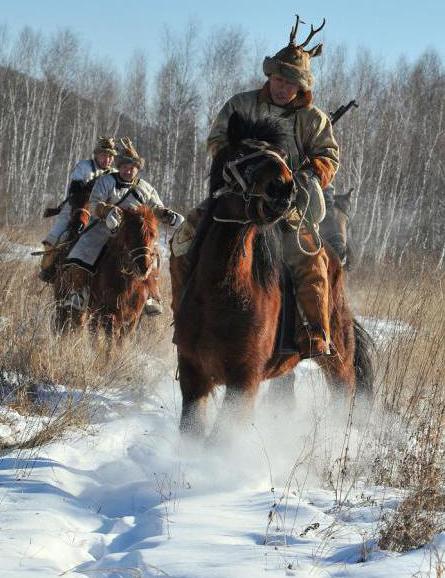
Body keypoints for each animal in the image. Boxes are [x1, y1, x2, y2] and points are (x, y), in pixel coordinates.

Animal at [169, 112, 372, 434]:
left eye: (280, 155)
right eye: (241, 153)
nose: (284, 188)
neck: (222, 294)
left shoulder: (243, 382)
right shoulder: (193, 376)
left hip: (338, 357)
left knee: (344, 391)